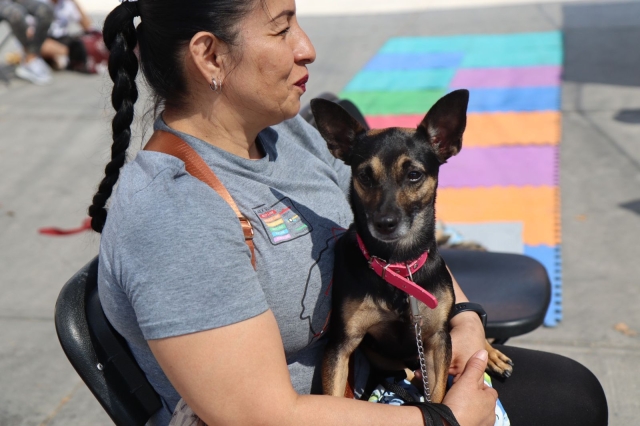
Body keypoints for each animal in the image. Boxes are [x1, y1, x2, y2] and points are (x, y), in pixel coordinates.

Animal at [310, 90, 516, 402]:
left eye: (414, 175)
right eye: (365, 176)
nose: (385, 223)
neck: (398, 265)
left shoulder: (436, 341)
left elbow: (439, 396)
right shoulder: (342, 345)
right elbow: (334, 396)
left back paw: (491, 354)